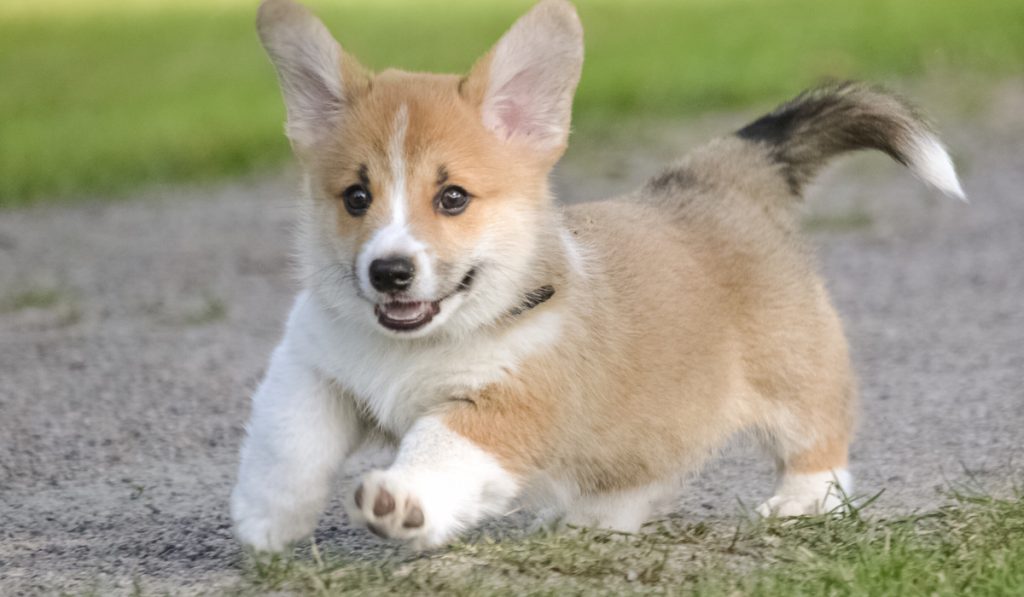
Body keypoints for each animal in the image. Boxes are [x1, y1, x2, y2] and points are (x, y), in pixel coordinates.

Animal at [230, 0, 958, 552]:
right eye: (356, 197)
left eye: (453, 198)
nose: (389, 272)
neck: (416, 344)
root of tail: (722, 175)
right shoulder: (314, 365)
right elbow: (288, 438)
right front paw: (266, 522)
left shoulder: (503, 407)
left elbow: (437, 446)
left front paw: (402, 499)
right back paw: (593, 520)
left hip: (793, 368)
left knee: (819, 435)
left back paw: (802, 500)